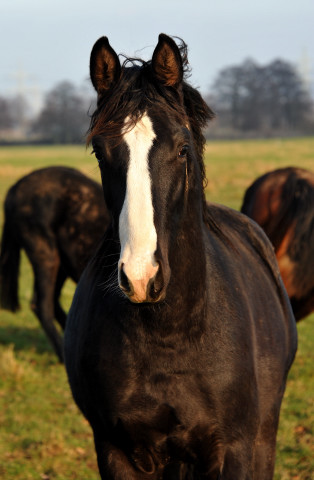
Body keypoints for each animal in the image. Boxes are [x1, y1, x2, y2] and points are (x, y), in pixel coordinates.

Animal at [64, 34, 296, 480]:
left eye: (182, 149)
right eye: (100, 153)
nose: (140, 278)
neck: (171, 334)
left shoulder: (235, 451)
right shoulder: (116, 451)